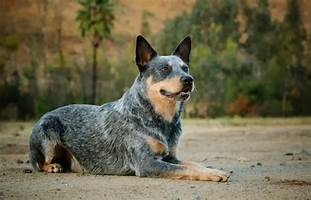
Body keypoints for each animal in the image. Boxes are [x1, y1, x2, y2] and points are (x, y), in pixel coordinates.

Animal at [29, 35, 232, 181]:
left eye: (185, 68)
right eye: (165, 68)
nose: (189, 80)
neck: (159, 117)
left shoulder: (170, 157)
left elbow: (191, 164)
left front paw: (212, 169)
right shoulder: (146, 163)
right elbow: (182, 168)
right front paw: (213, 174)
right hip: (49, 129)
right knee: (38, 163)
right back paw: (53, 166)